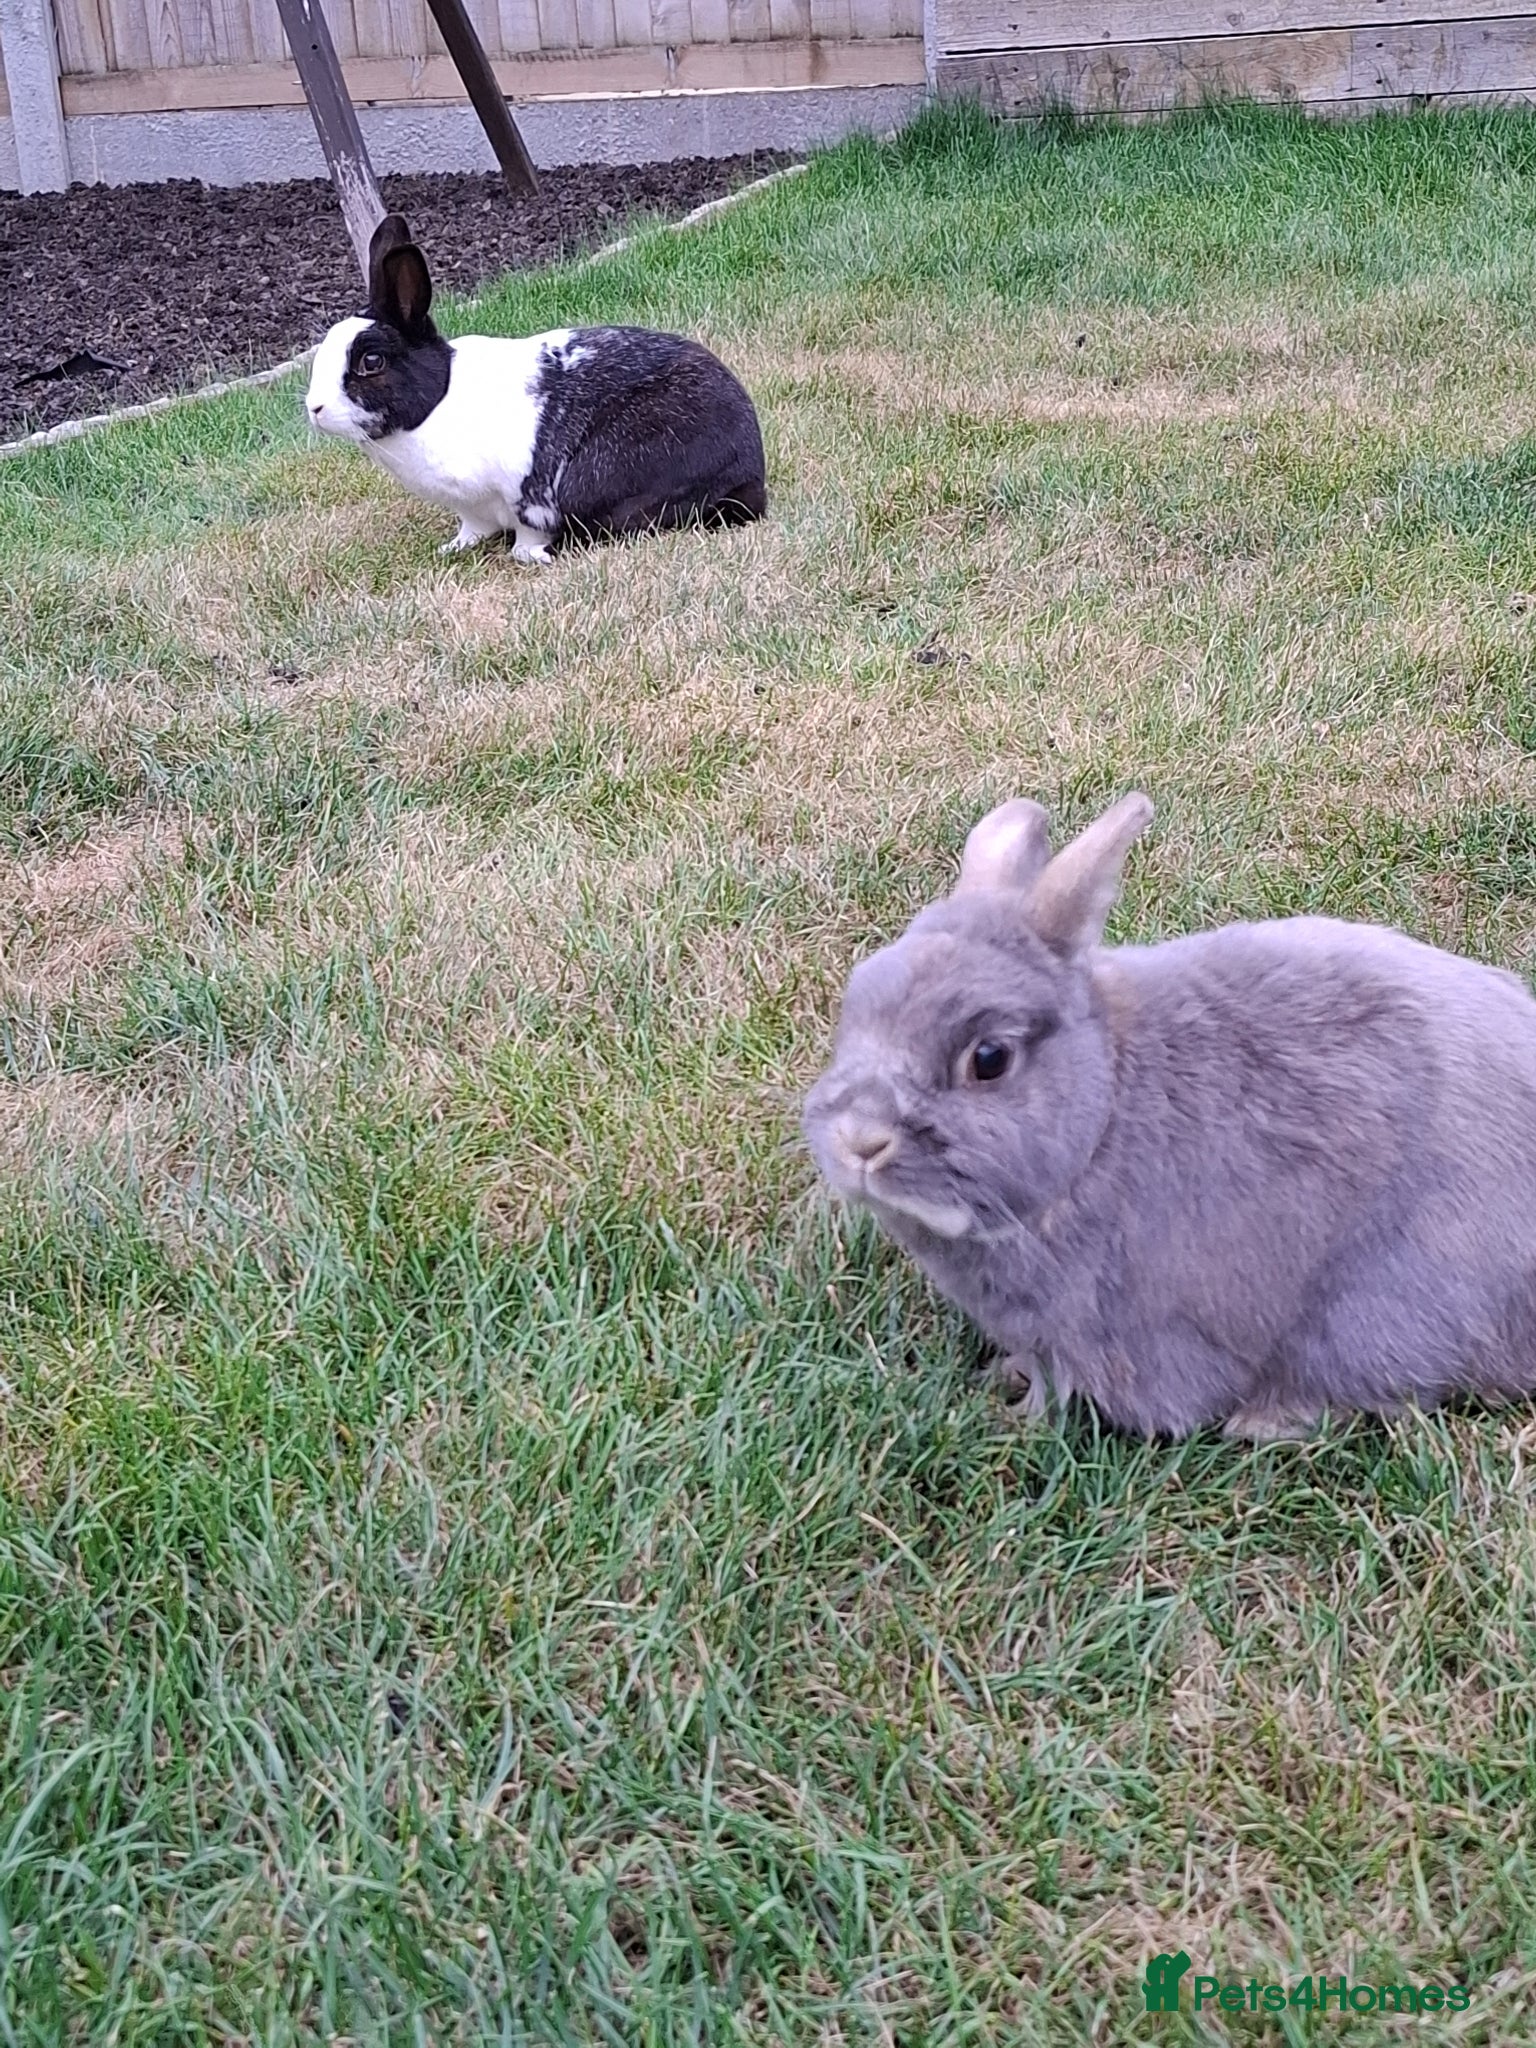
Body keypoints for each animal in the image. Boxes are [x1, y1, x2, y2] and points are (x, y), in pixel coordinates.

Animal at [306, 213, 767, 563]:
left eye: (371, 362)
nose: (314, 408)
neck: (438, 402)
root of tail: (750, 473)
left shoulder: (526, 499)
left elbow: (526, 535)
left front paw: (530, 554)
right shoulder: (472, 512)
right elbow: (471, 530)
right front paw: (451, 549)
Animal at [803, 791, 1536, 1442]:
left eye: (989, 1058)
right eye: (856, 1002)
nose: (859, 1141)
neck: (1101, 1120)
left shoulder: (1088, 1335)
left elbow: (1057, 1388)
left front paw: (1010, 1416)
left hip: (1376, 1314)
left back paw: (1262, 1422)